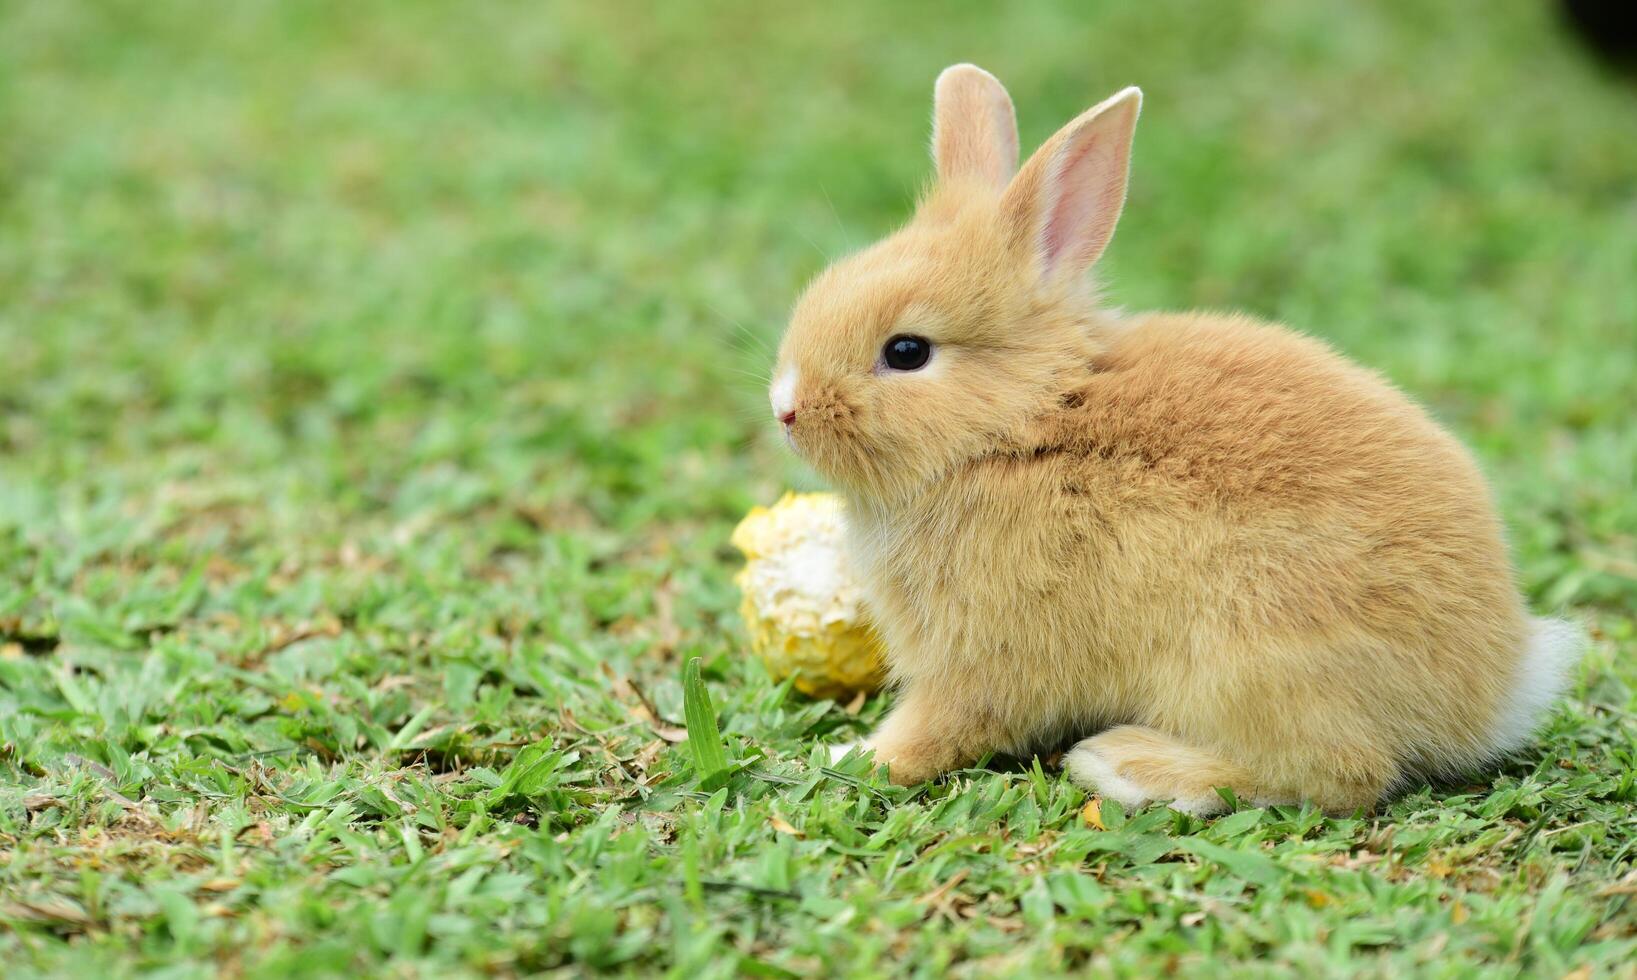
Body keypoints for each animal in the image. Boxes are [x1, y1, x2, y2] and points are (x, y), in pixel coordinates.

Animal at [769, 61, 1584, 811]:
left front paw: (848, 757)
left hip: (1249, 658)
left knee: (1338, 775)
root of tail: (1495, 690)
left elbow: (938, 728)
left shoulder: (978, 661)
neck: (1021, 422)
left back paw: (1130, 769)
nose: (785, 407)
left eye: (907, 351)